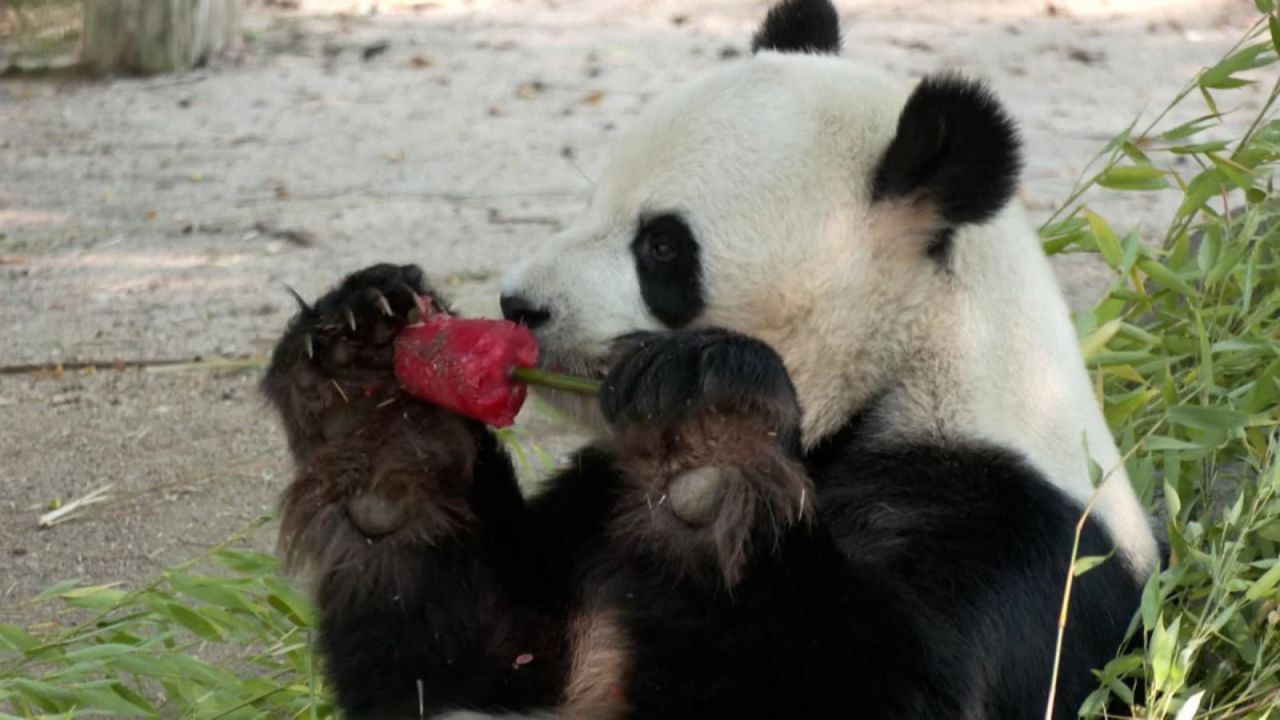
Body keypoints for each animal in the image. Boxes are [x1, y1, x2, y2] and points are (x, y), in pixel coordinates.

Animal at [264, 1, 1167, 712]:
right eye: (594, 199)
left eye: (662, 247)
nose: (521, 305)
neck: (904, 366)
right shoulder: (597, 507)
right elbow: (466, 658)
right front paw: (371, 402)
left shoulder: (1012, 529)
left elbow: (884, 685)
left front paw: (709, 437)